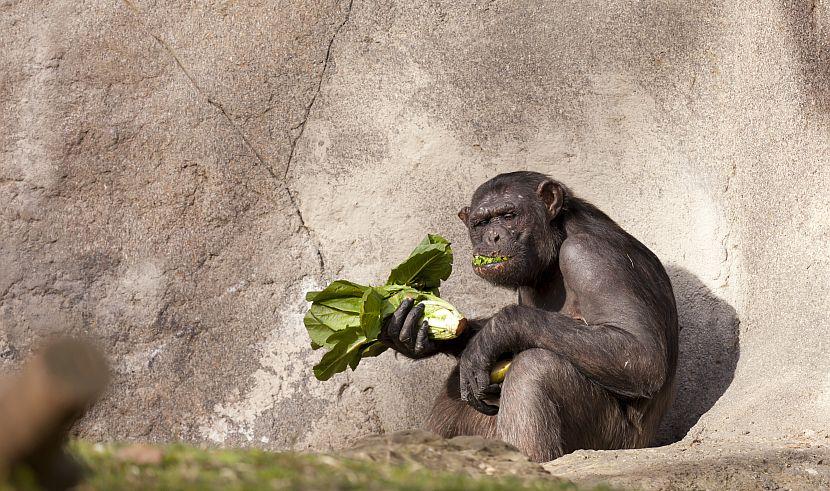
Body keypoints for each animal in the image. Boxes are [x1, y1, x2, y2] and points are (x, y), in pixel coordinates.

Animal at [380, 172, 680, 462]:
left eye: (509, 216)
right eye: (481, 223)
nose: (492, 237)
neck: (556, 245)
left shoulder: (591, 257)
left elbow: (641, 355)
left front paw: (496, 331)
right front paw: (412, 332)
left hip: (609, 440)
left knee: (534, 368)